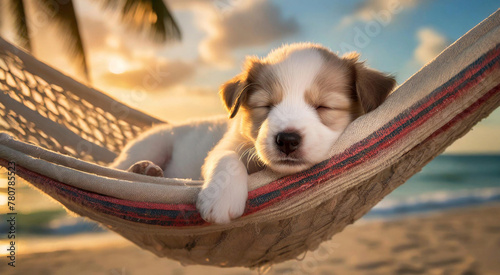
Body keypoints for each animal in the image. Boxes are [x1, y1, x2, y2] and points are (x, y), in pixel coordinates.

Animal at [111, 42, 396, 224]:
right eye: (266, 106)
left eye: (323, 107)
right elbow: (228, 159)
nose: (287, 140)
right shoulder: (223, 146)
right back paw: (143, 169)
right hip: (152, 145)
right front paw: (222, 198)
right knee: (117, 168)